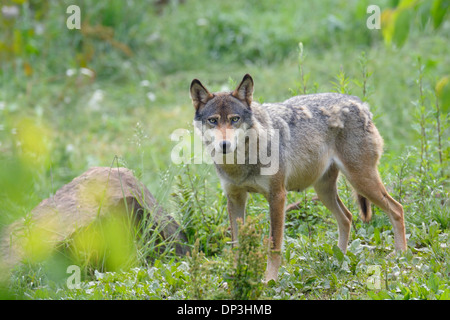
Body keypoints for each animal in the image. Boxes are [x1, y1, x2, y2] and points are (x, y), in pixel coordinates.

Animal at [190, 74, 408, 282]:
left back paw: (400, 255)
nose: (224, 145)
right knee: (347, 217)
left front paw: (269, 281)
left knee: (397, 208)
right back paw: (339, 260)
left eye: (234, 119)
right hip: (325, 191)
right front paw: (236, 278)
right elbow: (236, 245)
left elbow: (274, 245)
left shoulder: (277, 196)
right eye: (213, 120)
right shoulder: (235, 198)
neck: (242, 162)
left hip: (360, 181)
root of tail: (359, 102)